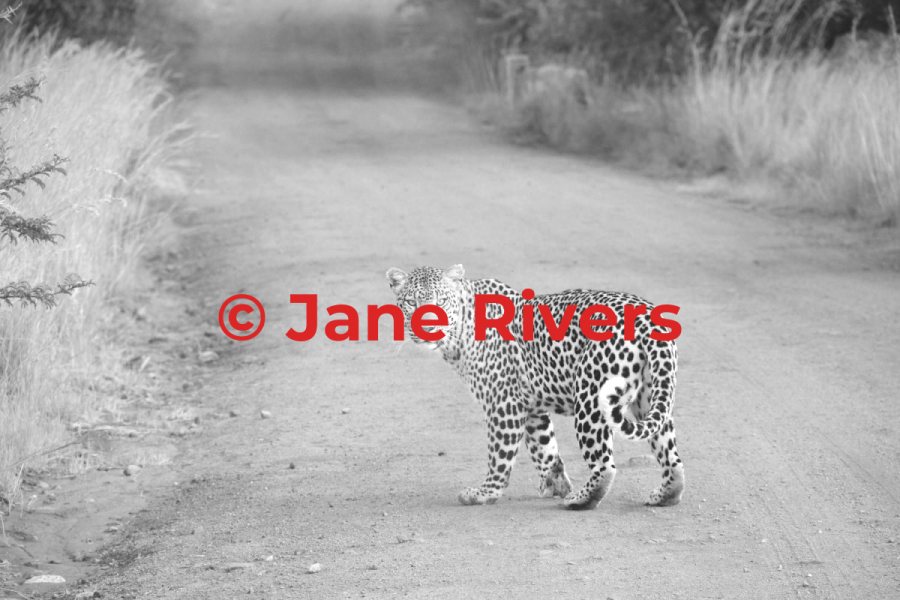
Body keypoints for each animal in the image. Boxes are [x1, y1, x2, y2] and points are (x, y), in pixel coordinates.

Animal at [385, 264, 684, 510]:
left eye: (441, 302)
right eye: (411, 302)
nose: (428, 326)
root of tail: (646, 317)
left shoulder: (503, 403)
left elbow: (499, 454)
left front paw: (485, 493)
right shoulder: (531, 406)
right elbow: (545, 448)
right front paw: (556, 484)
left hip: (591, 398)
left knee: (605, 464)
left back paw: (580, 500)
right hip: (650, 396)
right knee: (672, 456)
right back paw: (665, 495)